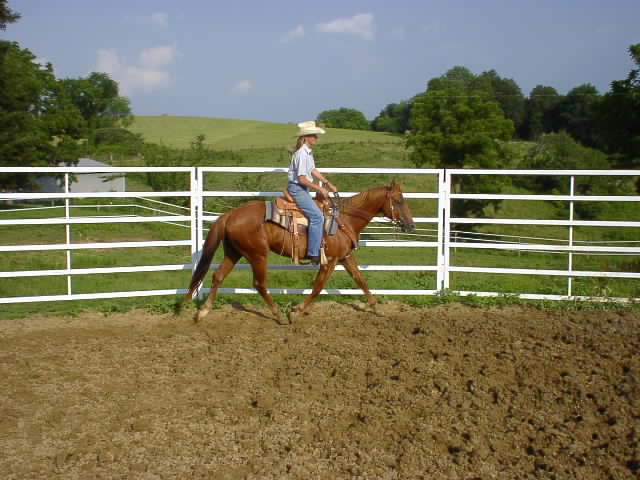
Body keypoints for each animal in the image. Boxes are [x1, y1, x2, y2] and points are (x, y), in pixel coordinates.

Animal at [185, 182, 416, 324]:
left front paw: (377, 308)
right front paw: (296, 312)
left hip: (234, 252)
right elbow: (318, 287)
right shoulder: (330, 260)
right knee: (259, 284)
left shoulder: (346, 257)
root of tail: (230, 215)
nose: (411, 225)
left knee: (218, 276)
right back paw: (278, 314)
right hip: (258, 255)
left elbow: (361, 280)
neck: (345, 220)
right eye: (399, 201)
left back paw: (203, 312)